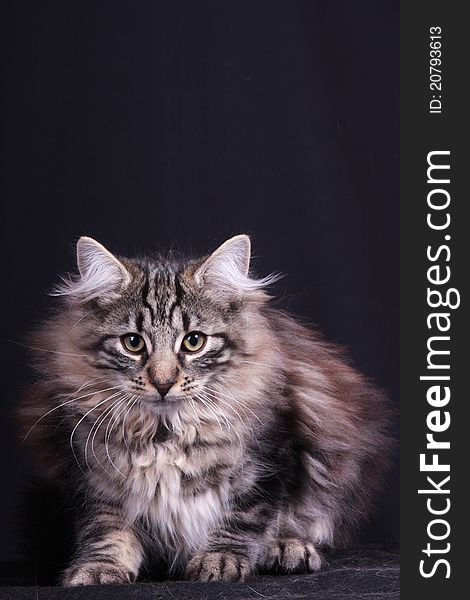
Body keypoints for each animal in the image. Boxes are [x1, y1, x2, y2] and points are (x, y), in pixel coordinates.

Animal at [18, 236, 392, 584]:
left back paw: (288, 549)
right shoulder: (93, 473)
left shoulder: (270, 457)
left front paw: (221, 560)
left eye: (194, 341)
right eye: (133, 343)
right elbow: (106, 528)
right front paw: (99, 568)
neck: (164, 430)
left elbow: (243, 518)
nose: (163, 382)